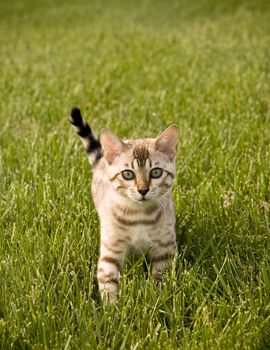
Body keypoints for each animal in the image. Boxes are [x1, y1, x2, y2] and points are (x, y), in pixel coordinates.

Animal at [70, 107, 179, 300]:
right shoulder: (110, 254)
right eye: (128, 174)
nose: (143, 190)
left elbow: (160, 279)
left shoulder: (164, 251)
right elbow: (108, 283)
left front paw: (156, 299)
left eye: (156, 172)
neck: (140, 216)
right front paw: (112, 306)